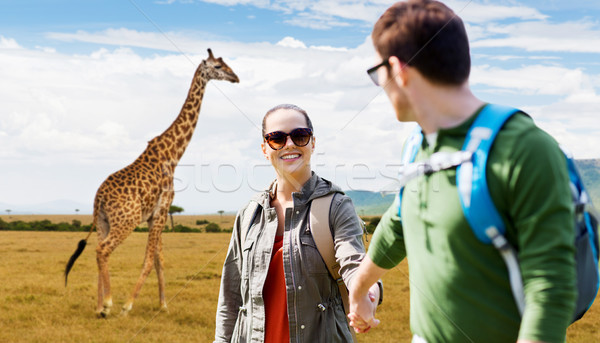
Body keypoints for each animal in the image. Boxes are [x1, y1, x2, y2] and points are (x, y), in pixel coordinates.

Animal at [65, 47, 239, 318]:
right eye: (218, 67)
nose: (235, 77)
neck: (173, 154)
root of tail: (99, 198)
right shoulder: (162, 209)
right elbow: (149, 260)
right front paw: (128, 305)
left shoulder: (154, 215)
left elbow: (159, 259)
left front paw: (163, 305)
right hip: (125, 221)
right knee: (103, 250)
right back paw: (109, 304)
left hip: (103, 221)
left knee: (98, 250)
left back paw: (99, 306)